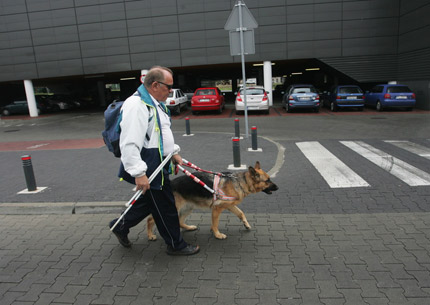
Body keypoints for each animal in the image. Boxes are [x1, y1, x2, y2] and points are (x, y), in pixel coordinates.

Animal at [148, 160, 278, 239]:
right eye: (267, 180)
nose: (278, 187)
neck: (241, 182)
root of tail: (170, 183)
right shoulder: (217, 208)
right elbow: (215, 223)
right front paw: (217, 234)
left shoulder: (230, 206)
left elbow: (241, 213)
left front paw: (246, 224)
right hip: (174, 207)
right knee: (150, 219)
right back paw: (150, 235)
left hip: (187, 208)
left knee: (179, 221)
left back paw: (189, 227)